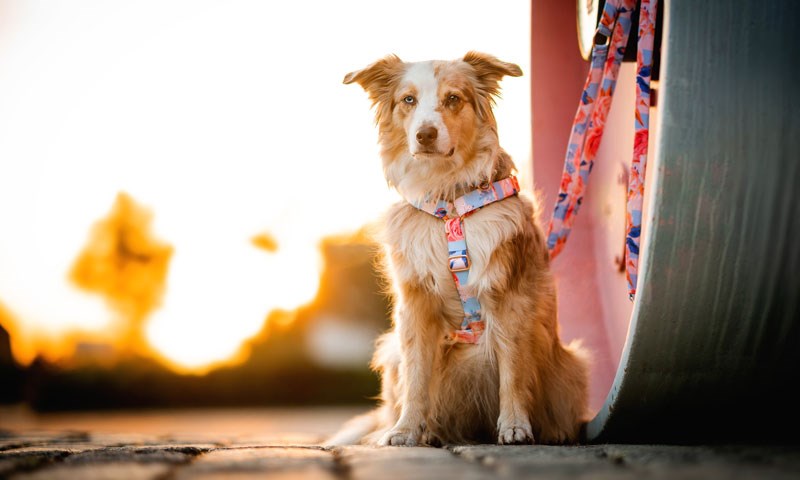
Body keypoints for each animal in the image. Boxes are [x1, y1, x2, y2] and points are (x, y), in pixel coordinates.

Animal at [328, 51, 592, 446]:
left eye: (453, 98)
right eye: (408, 100)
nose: (424, 134)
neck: (448, 203)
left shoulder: (508, 295)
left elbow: (513, 370)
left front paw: (515, 426)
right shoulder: (415, 302)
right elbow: (417, 376)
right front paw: (405, 430)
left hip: (570, 366)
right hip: (391, 351)